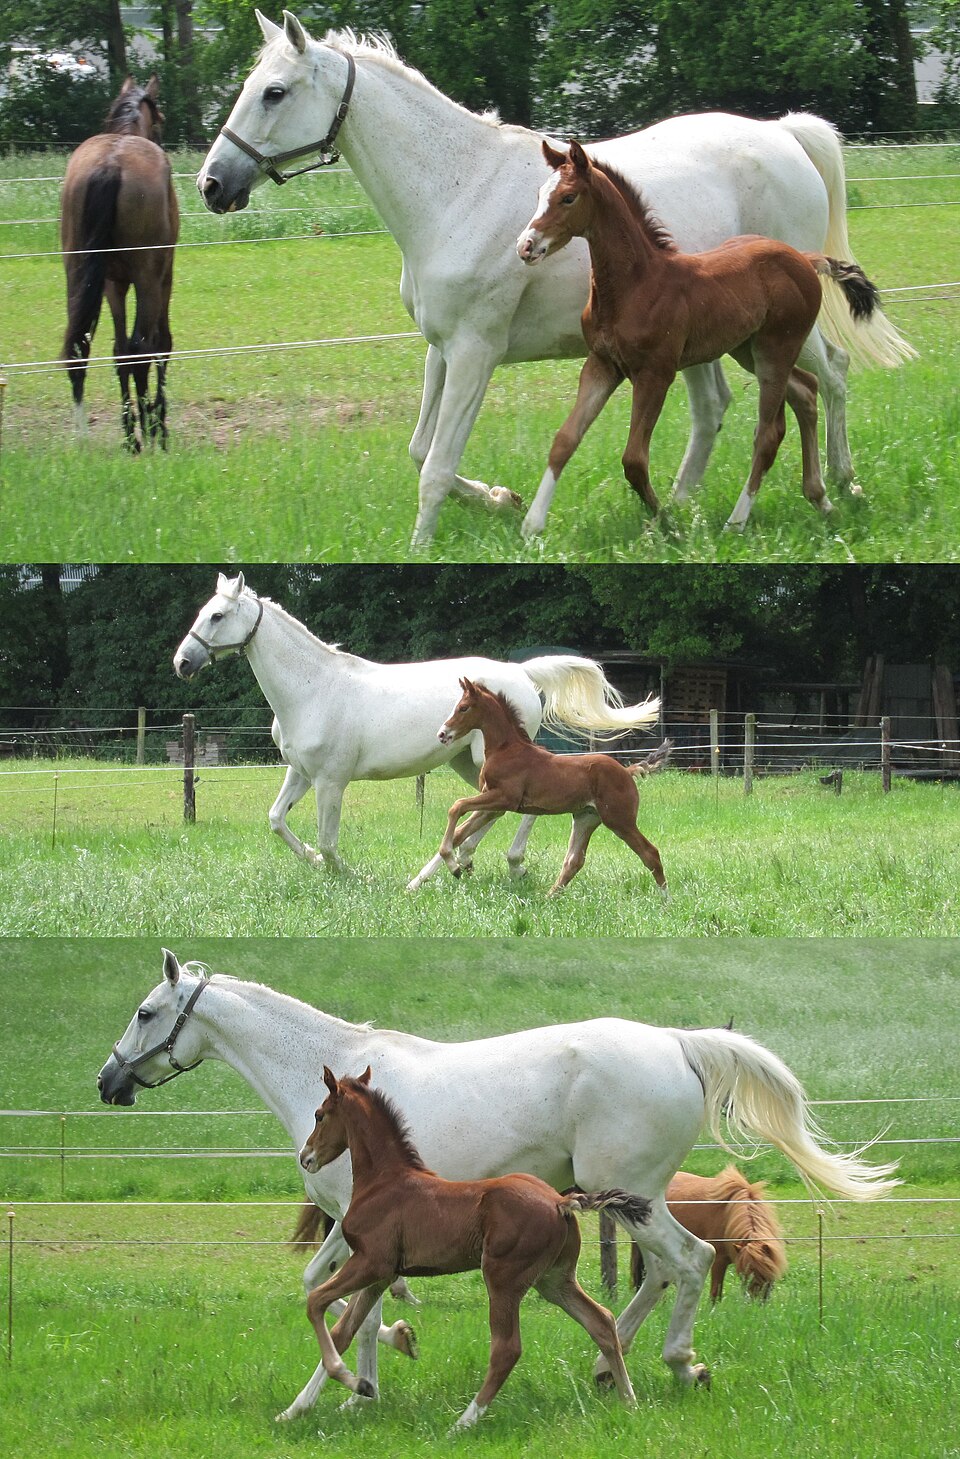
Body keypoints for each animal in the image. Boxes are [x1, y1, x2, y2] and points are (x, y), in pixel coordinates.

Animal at [60, 75, 179, 450]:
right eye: (161, 119)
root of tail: (110, 164)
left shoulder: (112, 284)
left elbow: (118, 350)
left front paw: (132, 427)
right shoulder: (163, 278)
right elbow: (159, 344)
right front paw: (156, 424)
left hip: (77, 274)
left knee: (79, 348)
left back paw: (91, 437)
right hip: (148, 279)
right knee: (142, 347)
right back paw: (150, 435)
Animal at [296, 1065, 642, 1428]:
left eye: (319, 1114)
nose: (306, 1157)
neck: (383, 1182)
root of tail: (561, 1201)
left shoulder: (370, 1263)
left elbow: (316, 1302)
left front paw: (357, 1383)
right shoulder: (382, 1275)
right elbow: (344, 1330)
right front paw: (295, 1409)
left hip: (503, 1278)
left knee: (507, 1349)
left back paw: (463, 1422)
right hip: (555, 1280)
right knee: (601, 1322)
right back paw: (630, 1403)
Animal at [427, 676, 671, 896]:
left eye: (463, 708)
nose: (442, 734)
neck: (506, 750)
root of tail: (627, 771)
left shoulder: (505, 798)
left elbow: (457, 806)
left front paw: (454, 867)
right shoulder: (493, 802)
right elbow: (460, 826)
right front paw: (450, 868)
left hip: (620, 820)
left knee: (650, 853)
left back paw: (665, 902)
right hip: (586, 817)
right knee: (573, 861)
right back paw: (548, 898)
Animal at [517, 140, 883, 533]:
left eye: (568, 197)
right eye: (539, 194)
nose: (526, 245)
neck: (635, 285)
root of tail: (804, 258)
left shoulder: (656, 373)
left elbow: (634, 459)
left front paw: (667, 525)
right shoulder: (602, 365)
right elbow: (565, 440)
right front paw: (532, 525)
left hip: (778, 347)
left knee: (770, 432)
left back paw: (738, 521)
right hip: (748, 350)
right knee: (805, 391)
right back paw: (821, 500)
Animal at [629, 1167, 788, 1304]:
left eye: (766, 1273)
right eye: (743, 1274)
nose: (754, 1304)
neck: (728, 1215)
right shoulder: (719, 1261)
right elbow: (715, 1293)